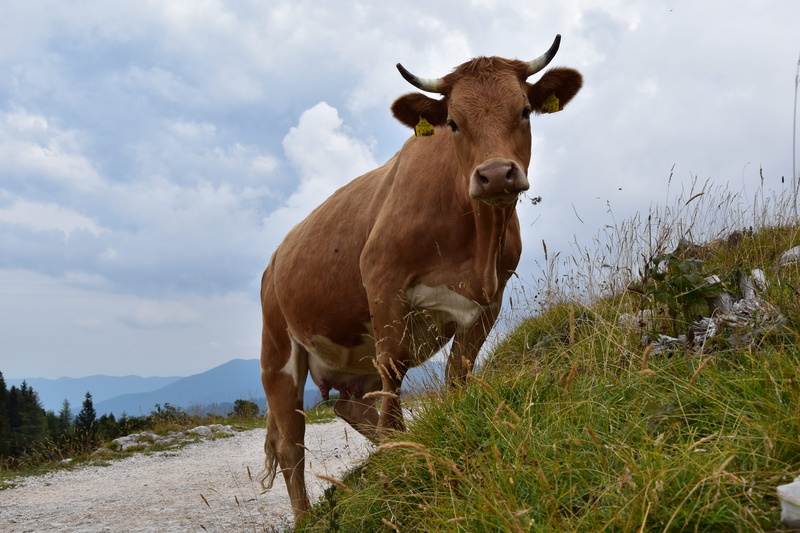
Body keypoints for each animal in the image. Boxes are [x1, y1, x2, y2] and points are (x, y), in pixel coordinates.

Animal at [259, 35, 582, 520]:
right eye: (453, 122)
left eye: (525, 110)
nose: (495, 175)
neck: (475, 248)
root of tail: (274, 258)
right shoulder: (383, 285)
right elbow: (393, 377)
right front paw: (401, 464)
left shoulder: (488, 302)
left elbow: (458, 375)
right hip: (277, 352)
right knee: (290, 445)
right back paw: (309, 516)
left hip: (349, 361)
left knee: (350, 407)